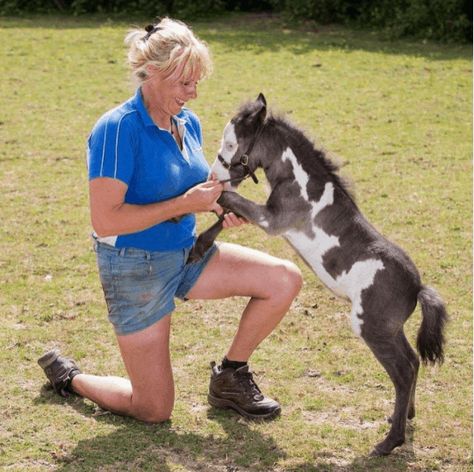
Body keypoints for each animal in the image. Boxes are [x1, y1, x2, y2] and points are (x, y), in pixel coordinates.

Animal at [190, 93, 448, 458]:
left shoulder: (273, 220)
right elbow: (227, 210)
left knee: (404, 370)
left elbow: (231, 198)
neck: (302, 183)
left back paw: (388, 443)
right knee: (412, 363)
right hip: (389, 329)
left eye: (230, 143)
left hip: (372, 329)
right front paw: (198, 246)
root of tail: (418, 287)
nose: (214, 174)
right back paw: (403, 418)